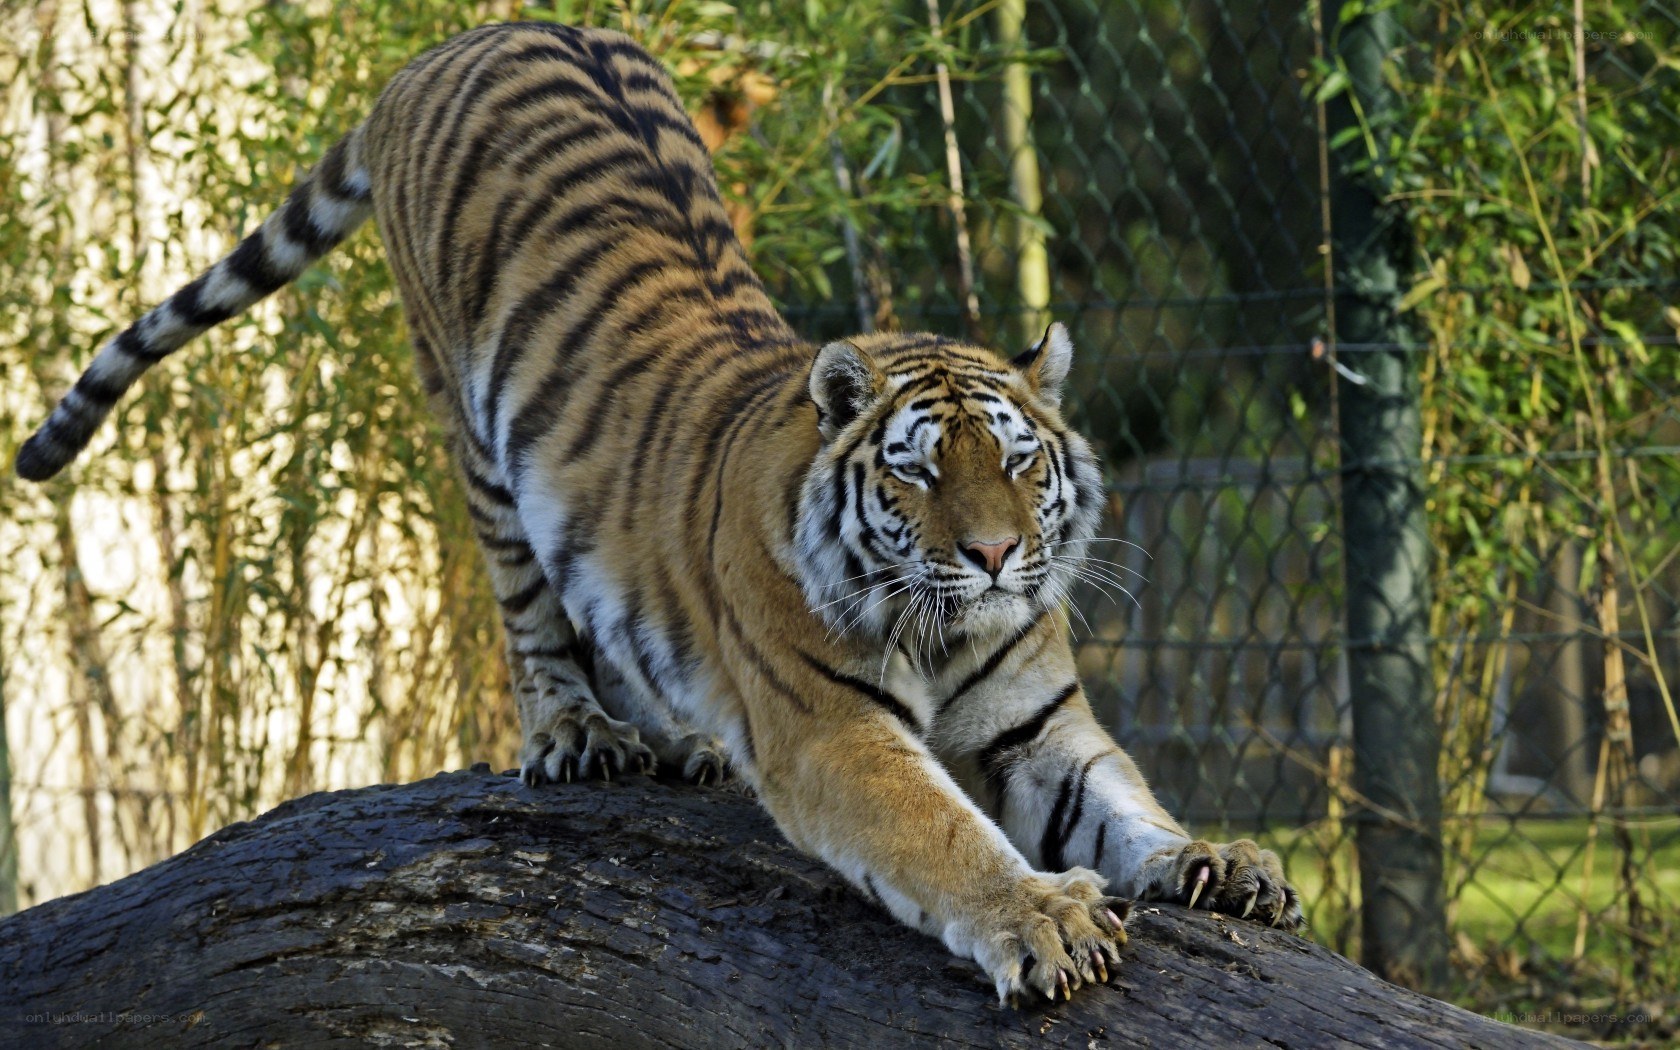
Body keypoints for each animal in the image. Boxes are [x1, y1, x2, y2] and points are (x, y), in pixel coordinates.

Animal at [15, 21, 1302, 1003]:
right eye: (921, 472)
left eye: (1022, 463)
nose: (994, 556)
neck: (949, 627)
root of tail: (454, 43)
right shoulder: (834, 733)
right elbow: (942, 837)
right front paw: (1041, 919)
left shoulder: (1040, 727)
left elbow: (1127, 805)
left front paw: (1220, 862)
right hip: (469, 428)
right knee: (532, 615)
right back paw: (579, 735)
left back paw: (682, 742)